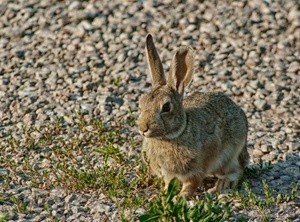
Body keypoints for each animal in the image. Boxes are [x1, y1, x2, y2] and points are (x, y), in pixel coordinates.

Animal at [137, 33, 250, 197]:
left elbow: (191, 184)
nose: (142, 128)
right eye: (141, 102)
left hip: (232, 154)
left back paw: (221, 185)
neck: (173, 136)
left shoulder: (196, 169)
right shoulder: (168, 174)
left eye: (166, 107)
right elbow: (168, 183)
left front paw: (180, 197)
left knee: (238, 170)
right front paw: (164, 194)